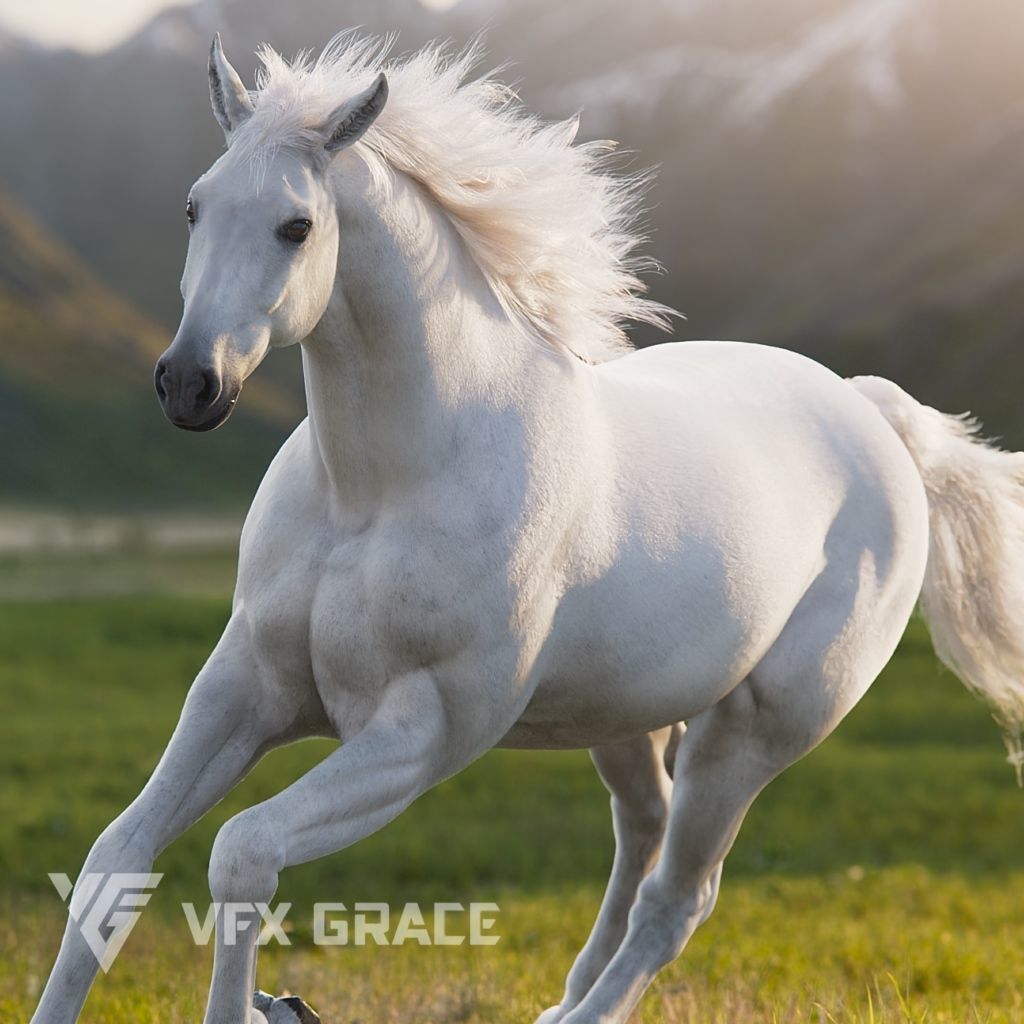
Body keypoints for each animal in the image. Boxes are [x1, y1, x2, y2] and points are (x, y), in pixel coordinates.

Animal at [32, 33, 1024, 1024]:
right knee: (643, 833)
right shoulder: (245, 689)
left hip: (751, 735)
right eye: (194, 206)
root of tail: (872, 415)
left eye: (297, 227)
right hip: (624, 716)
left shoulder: (422, 733)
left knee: (678, 898)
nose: (188, 384)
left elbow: (243, 854)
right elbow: (115, 859)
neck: (378, 492)